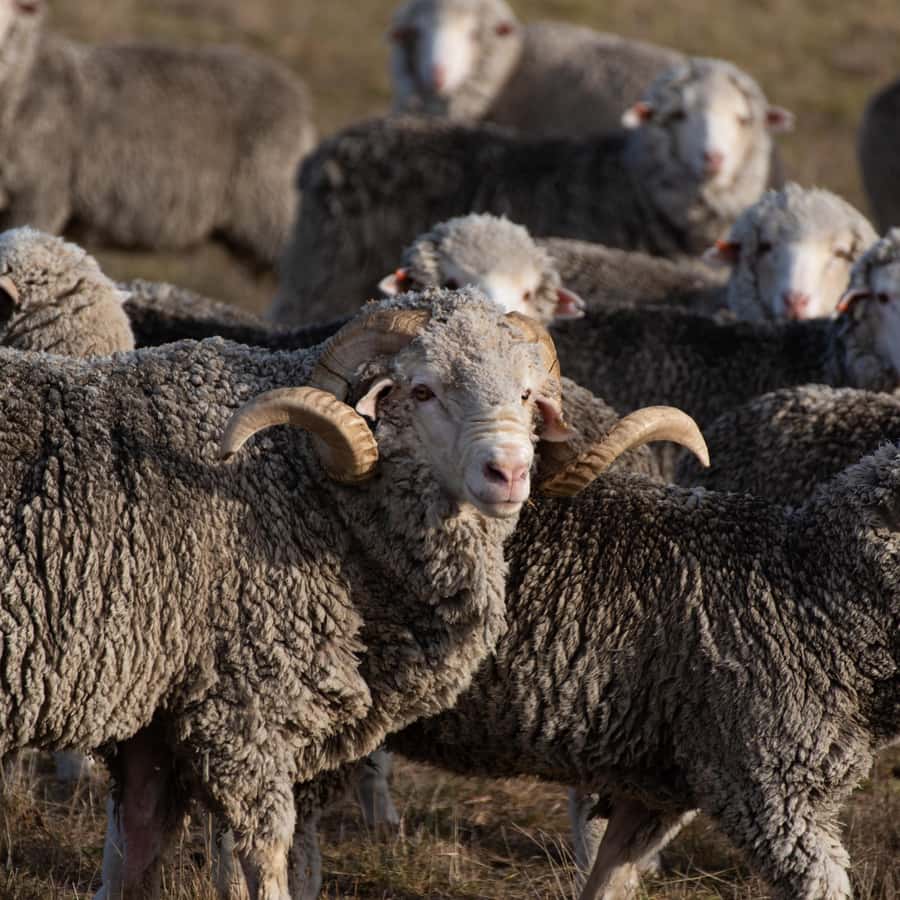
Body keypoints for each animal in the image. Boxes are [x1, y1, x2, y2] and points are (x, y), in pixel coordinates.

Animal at [0, 288, 691, 899]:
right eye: (422, 390)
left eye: (524, 394)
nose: (511, 471)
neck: (297, 475)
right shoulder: (245, 709)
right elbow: (264, 860)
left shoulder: (159, 718)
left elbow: (132, 857)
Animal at [274, 57, 793, 326]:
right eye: (678, 116)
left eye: (742, 120)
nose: (713, 159)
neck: (631, 184)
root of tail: (329, 148)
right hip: (323, 273)